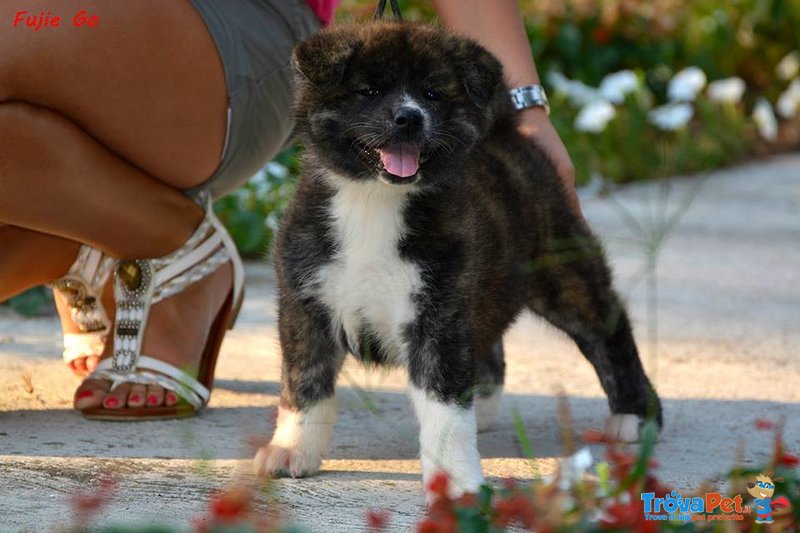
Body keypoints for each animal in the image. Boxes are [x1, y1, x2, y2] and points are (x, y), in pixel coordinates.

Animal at [256, 19, 664, 494]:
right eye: (370, 90)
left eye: (433, 93)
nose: (409, 118)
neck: (374, 201)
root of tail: (506, 134)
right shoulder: (306, 300)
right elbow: (304, 383)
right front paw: (293, 449)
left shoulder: (439, 314)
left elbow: (445, 408)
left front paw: (453, 481)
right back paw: (483, 405)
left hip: (563, 272)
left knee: (608, 330)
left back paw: (635, 414)